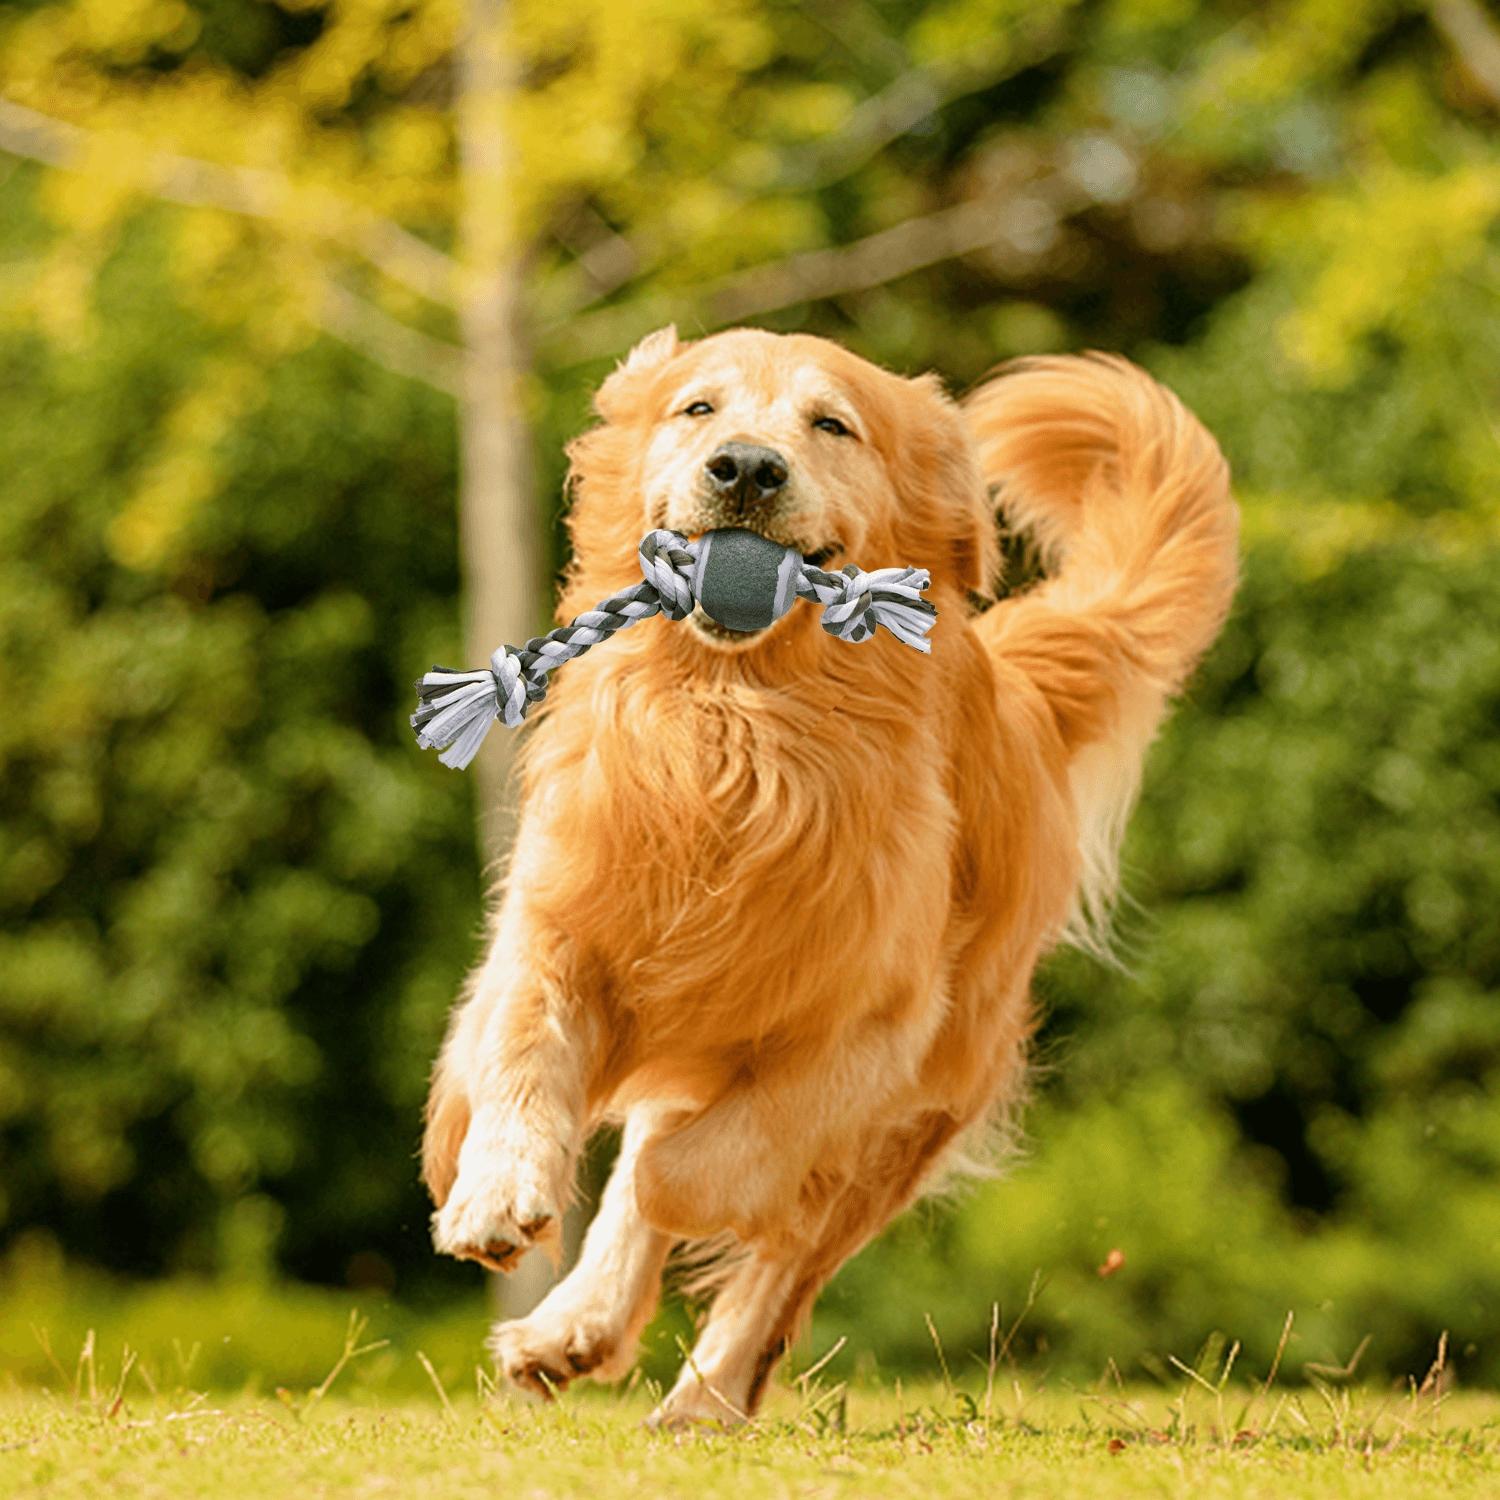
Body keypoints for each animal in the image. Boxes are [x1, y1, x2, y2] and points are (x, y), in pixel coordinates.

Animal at [417, 322, 1236, 1422]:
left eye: (832, 424)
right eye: (699, 408)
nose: (747, 470)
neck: (737, 727)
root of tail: (1015, 690)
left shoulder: (874, 1034)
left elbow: (704, 1167)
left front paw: (667, 1205)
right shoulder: (557, 925)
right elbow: (522, 1056)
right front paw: (493, 1194)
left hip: (920, 1109)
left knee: (783, 1259)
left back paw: (702, 1400)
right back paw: (572, 1328)